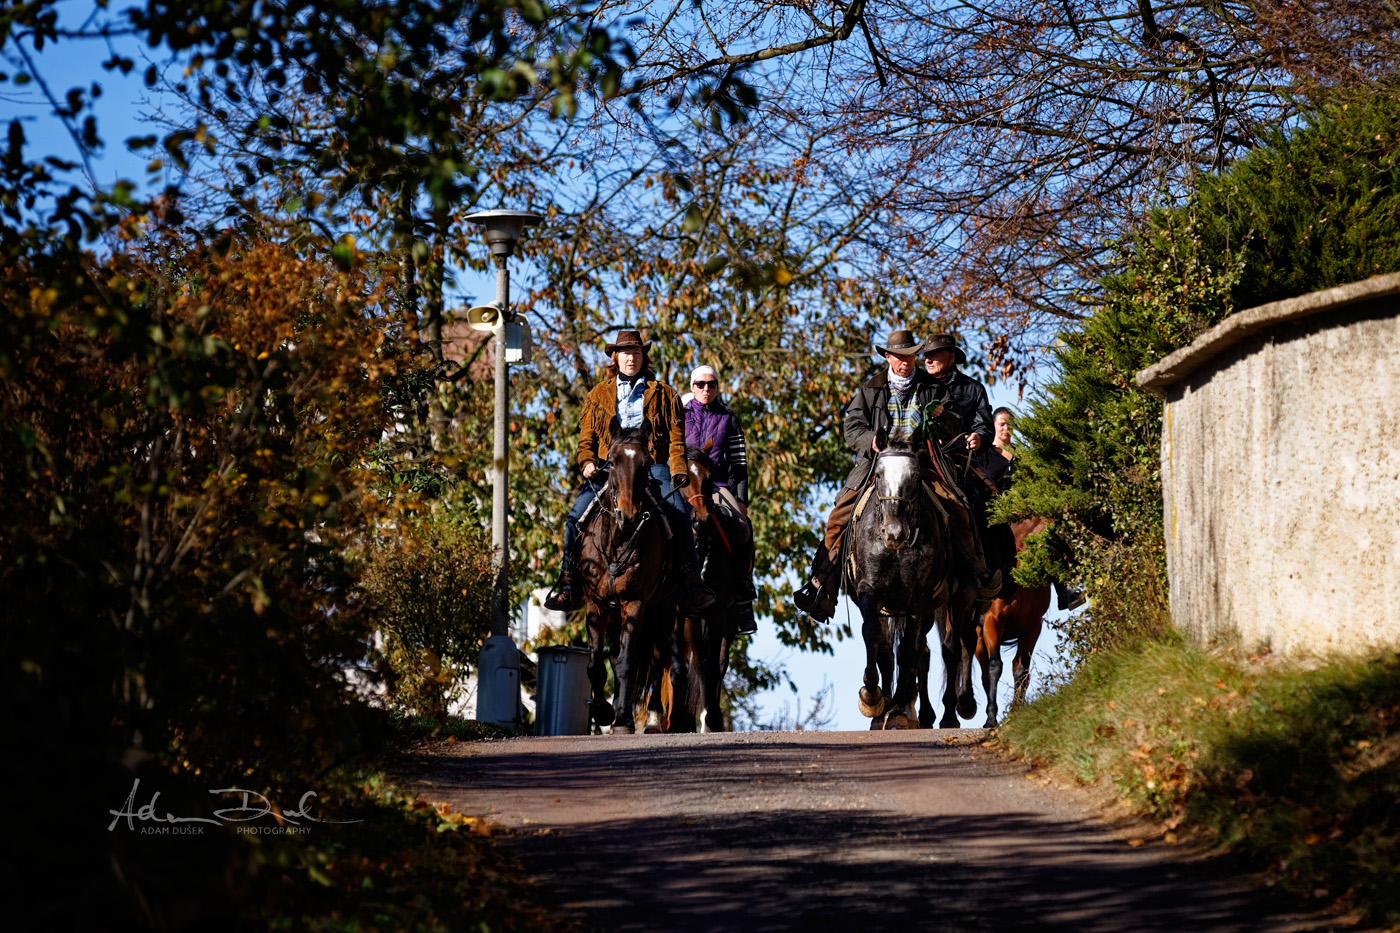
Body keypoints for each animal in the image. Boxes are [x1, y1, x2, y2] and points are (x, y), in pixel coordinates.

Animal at [576, 420, 680, 734]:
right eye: (611, 461)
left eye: (646, 464)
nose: (629, 515)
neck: (617, 542)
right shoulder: (595, 604)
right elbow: (596, 665)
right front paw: (603, 712)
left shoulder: (635, 604)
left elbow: (626, 663)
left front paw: (621, 717)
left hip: (663, 611)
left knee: (657, 660)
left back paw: (654, 719)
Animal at [845, 428, 980, 728]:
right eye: (879, 474)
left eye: (916, 476)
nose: (894, 533)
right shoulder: (870, 591)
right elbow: (877, 641)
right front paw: (873, 699)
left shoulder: (918, 598)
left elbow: (909, 650)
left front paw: (896, 707)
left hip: (957, 598)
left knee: (955, 646)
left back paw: (955, 710)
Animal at [974, 515, 1052, 728]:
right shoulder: (993, 621)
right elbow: (995, 667)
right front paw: (991, 719)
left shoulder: (1033, 626)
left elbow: (1022, 670)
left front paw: (1016, 712)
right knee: (985, 674)